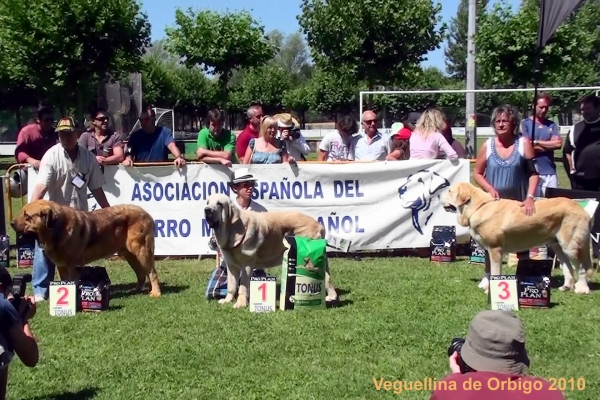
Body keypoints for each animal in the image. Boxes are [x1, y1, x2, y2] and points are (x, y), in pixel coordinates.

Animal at [11, 200, 162, 296]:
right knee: (141, 273)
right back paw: (137, 290)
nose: (11, 223)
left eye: (27, 216)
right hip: (130, 255)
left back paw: (155, 293)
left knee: (152, 273)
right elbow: (64, 281)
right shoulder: (61, 266)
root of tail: (147, 214)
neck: (57, 230)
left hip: (142, 251)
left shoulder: (71, 266)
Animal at [205, 194, 338, 310]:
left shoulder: (247, 264)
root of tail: (319, 225)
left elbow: (243, 286)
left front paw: (240, 303)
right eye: (207, 202)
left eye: (219, 204)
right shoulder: (232, 266)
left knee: (325, 277)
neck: (233, 227)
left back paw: (329, 297)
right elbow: (232, 285)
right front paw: (228, 300)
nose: (207, 210)